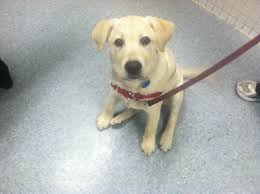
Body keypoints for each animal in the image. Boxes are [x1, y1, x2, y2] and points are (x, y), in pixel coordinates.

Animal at [92, 15, 184, 156]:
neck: (133, 86)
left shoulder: (155, 107)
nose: (133, 67)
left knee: (172, 120)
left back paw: (166, 139)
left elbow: (151, 127)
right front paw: (105, 119)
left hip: (177, 96)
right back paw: (119, 117)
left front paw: (148, 143)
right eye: (118, 42)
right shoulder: (114, 90)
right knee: (134, 109)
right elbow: (109, 106)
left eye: (145, 40)